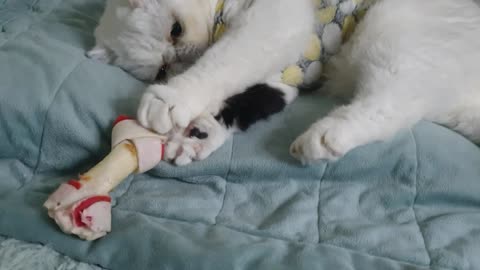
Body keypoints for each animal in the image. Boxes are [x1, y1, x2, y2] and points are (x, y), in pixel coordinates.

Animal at [88, 0, 480, 165]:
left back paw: (322, 139)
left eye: (176, 30)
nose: (182, 59)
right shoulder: (280, 80)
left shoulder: (274, 21)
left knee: (394, 102)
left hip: (391, 31)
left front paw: (172, 99)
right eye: (160, 69)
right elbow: (236, 104)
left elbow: (221, 63)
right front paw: (194, 139)